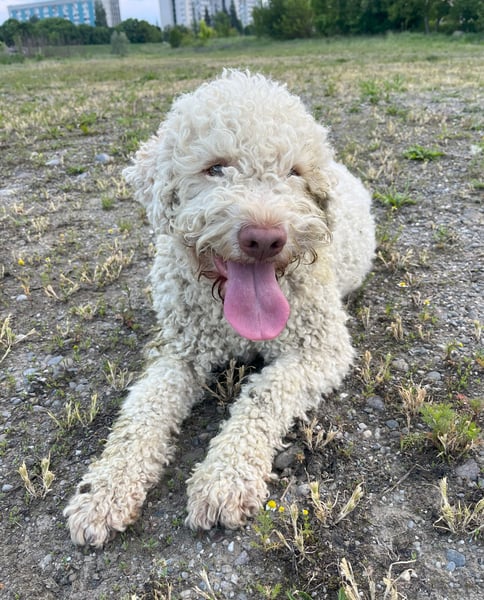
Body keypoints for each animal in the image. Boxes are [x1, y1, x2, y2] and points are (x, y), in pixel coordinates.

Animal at [64, 70, 375, 547]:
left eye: (295, 173)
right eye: (215, 167)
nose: (264, 238)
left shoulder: (320, 349)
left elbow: (264, 396)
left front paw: (223, 479)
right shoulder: (178, 350)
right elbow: (142, 409)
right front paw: (105, 488)